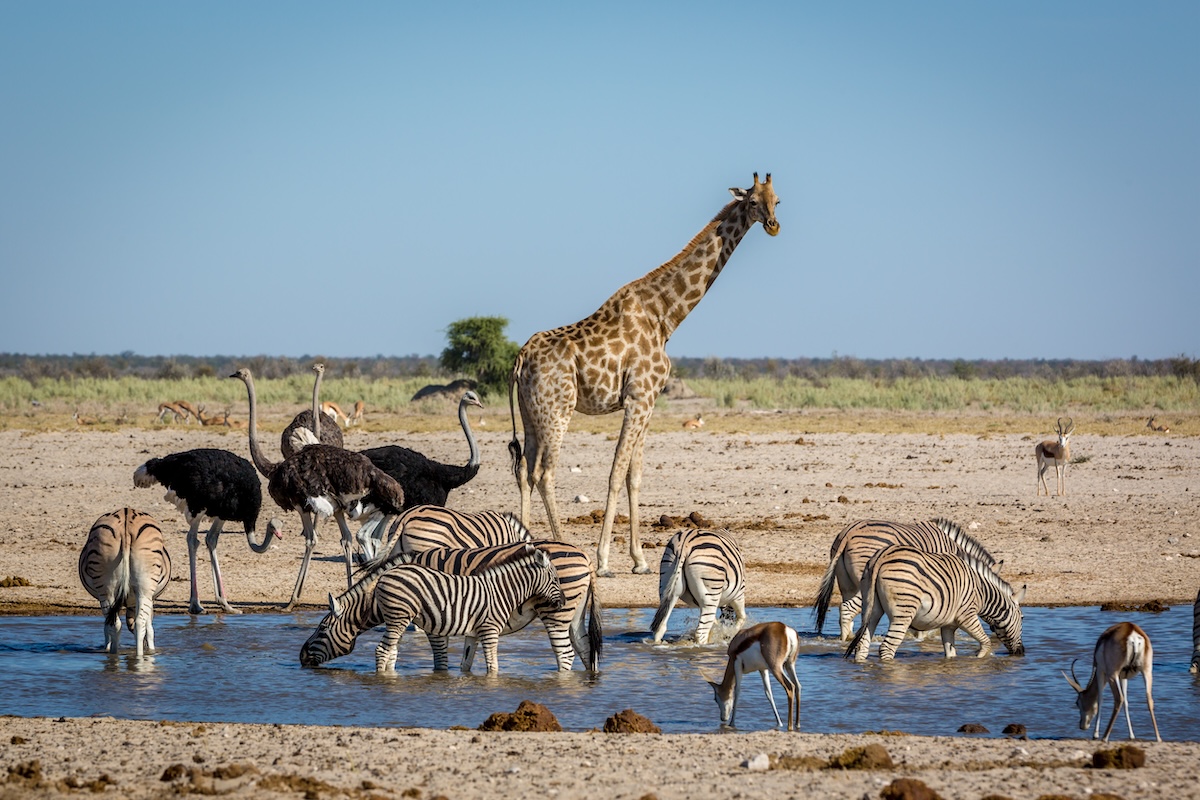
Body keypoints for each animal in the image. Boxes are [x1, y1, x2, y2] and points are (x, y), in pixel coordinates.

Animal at [76, 510, 171, 662]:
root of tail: (126, 514)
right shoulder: (151, 599)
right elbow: (150, 629)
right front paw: (151, 650)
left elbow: (108, 628)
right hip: (144, 588)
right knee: (139, 624)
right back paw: (138, 657)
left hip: (107, 588)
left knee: (116, 624)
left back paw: (114, 656)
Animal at [504, 173, 777, 575]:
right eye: (753, 201)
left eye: (778, 200)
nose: (773, 224)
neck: (665, 316)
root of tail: (520, 358)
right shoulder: (637, 400)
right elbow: (617, 472)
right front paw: (604, 559)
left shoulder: (648, 403)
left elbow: (635, 476)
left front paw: (639, 560)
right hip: (557, 410)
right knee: (545, 472)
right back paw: (566, 547)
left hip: (530, 413)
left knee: (524, 469)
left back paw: (524, 546)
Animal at [811, 520, 998, 642]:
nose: (995, 632)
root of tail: (849, 532)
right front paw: (922, 636)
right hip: (864, 582)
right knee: (849, 608)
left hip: (847, 583)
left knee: (847, 607)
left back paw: (847, 637)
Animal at [840, 544, 1027, 662]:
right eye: (1023, 618)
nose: (1021, 653)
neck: (981, 592)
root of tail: (882, 556)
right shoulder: (967, 616)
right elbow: (986, 643)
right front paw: (977, 659)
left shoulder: (949, 625)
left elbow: (951, 653)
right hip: (903, 612)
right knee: (887, 647)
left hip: (871, 608)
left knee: (862, 644)